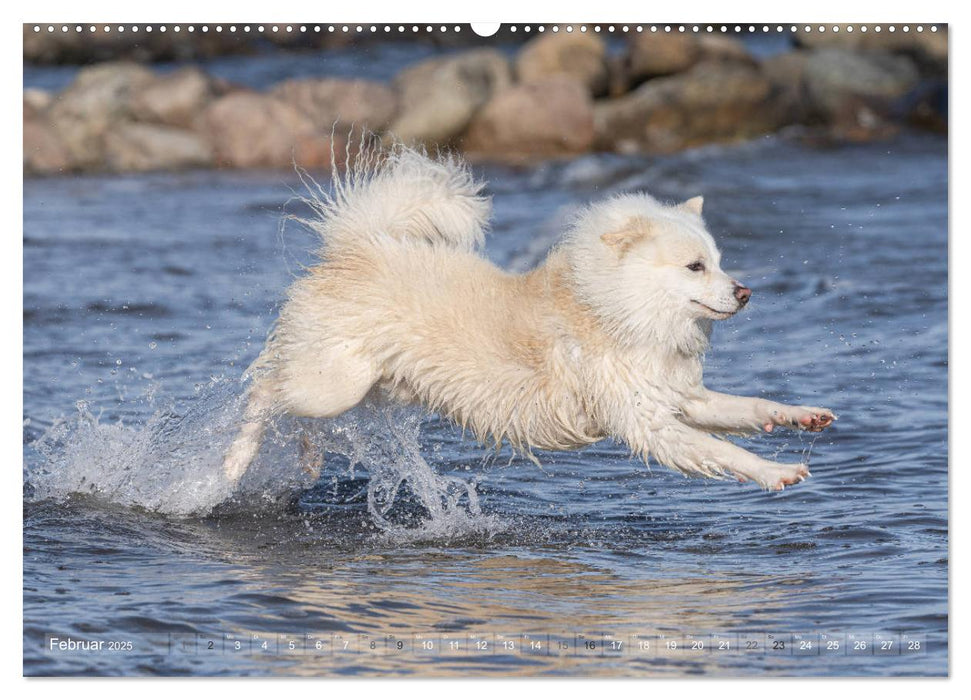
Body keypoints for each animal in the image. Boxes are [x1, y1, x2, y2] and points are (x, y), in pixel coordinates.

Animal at [222, 145, 836, 490]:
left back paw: (305, 461)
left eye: (721, 260)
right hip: (333, 382)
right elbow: (724, 450)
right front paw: (776, 472)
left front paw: (802, 416)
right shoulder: (647, 423)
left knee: (293, 409)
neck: (613, 310)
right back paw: (232, 463)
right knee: (266, 388)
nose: (745, 292)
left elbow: (750, 407)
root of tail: (359, 246)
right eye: (695, 266)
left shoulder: (682, 397)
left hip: (372, 386)